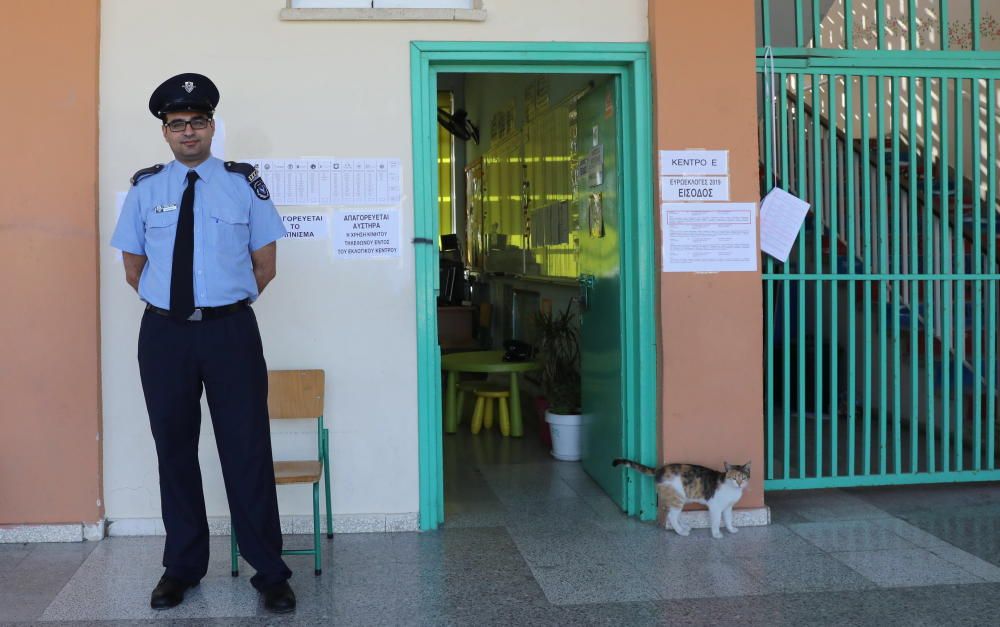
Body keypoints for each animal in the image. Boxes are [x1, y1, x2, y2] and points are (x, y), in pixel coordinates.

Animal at [608, 458, 752, 544]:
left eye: (743, 477)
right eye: (734, 478)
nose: (739, 484)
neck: (731, 489)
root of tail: (660, 469)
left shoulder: (728, 507)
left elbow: (728, 519)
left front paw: (731, 529)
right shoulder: (715, 506)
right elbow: (716, 522)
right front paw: (716, 534)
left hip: (681, 498)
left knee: (675, 515)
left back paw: (683, 527)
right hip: (677, 497)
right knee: (671, 516)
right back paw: (681, 532)